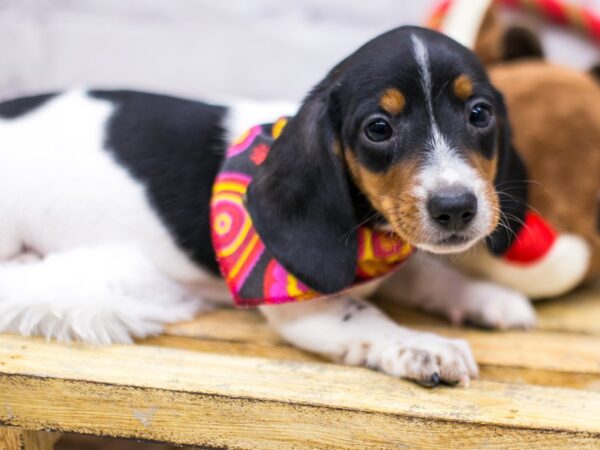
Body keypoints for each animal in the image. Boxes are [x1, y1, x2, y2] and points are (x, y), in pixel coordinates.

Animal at [0, 27, 536, 386]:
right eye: (379, 128)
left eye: (479, 114)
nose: (456, 208)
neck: (371, 230)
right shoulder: (305, 307)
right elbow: (364, 316)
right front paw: (423, 346)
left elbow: (430, 275)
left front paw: (487, 298)